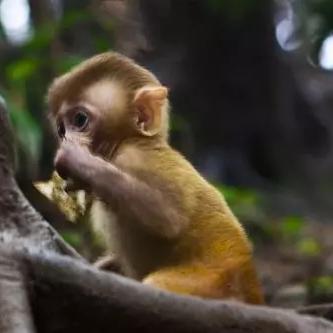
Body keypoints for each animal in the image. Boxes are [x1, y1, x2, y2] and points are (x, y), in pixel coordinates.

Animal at [48, 50, 264, 302]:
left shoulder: (136, 158)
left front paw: (78, 161)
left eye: (80, 120)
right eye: (61, 129)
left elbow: (168, 217)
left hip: (218, 285)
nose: (65, 139)